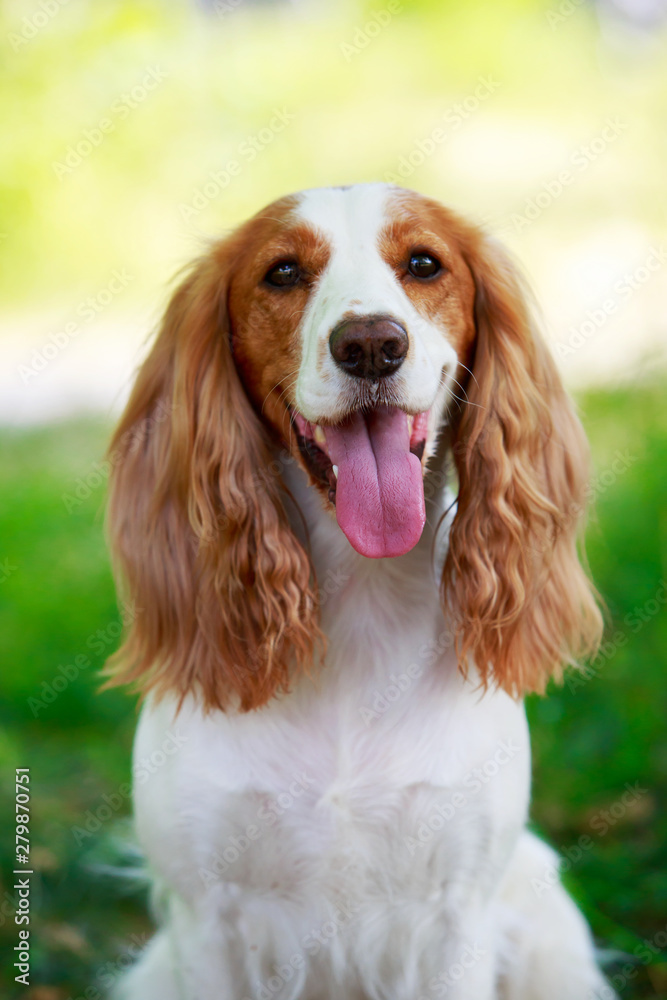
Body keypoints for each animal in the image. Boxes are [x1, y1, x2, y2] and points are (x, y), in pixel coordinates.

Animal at [109, 184, 616, 996]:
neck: (361, 603)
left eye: (423, 264)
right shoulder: (207, 920)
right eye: (282, 272)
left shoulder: (455, 915)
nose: (371, 344)